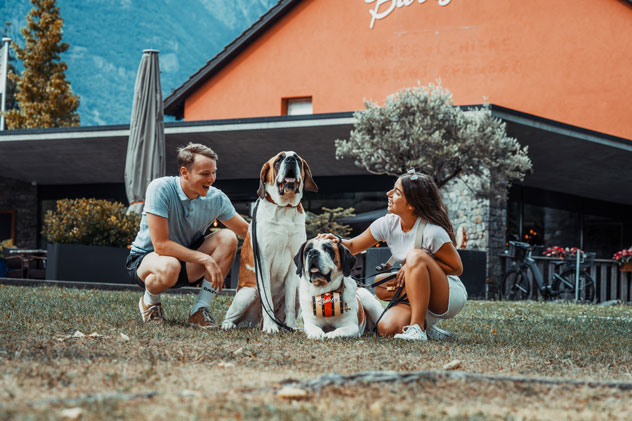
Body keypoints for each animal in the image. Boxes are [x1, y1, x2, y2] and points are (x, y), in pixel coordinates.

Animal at [223, 150, 320, 332]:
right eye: (279, 159)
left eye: (297, 159)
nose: (291, 159)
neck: (284, 208)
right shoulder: (263, 261)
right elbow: (266, 297)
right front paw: (270, 327)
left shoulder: (293, 265)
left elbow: (289, 303)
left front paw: (292, 326)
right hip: (248, 292)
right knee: (230, 315)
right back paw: (229, 325)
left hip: (299, 288)